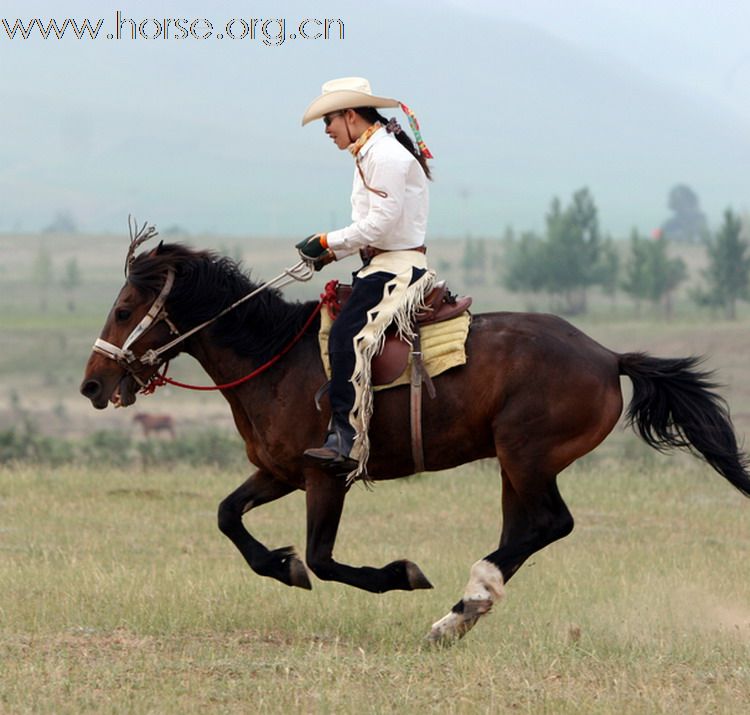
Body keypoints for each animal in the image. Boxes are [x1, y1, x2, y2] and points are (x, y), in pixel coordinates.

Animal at [82, 241, 750, 644]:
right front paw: (279, 564)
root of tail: (608, 356)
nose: (93, 384)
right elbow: (228, 517)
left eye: (124, 309)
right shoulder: (279, 471)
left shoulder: (325, 474)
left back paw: (459, 606)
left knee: (549, 524)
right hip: (514, 464)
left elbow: (323, 559)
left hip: (527, 455)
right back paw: (462, 613)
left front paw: (399, 574)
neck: (275, 358)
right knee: (525, 531)